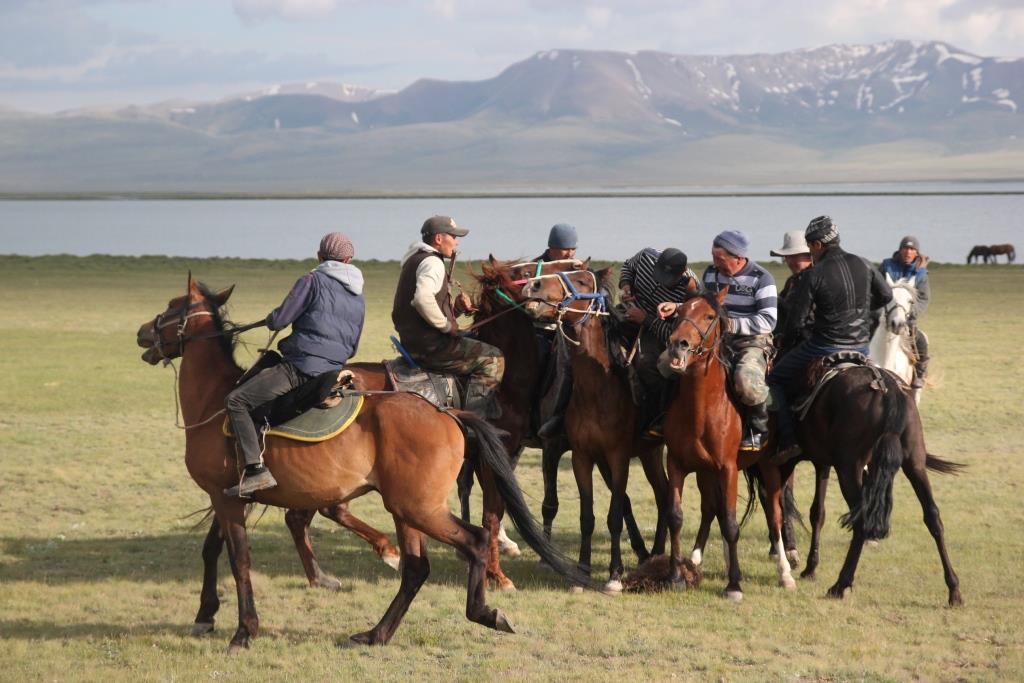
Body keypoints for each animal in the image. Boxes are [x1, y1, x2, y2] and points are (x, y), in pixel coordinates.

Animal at [136, 274, 598, 651]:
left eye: (172, 306)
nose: (142, 332)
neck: (218, 398)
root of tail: (446, 413)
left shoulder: (228, 500)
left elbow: (239, 561)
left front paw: (242, 631)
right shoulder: (229, 496)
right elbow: (214, 549)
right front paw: (206, 615)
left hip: (417, 507)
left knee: (471, 541)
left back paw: (480, 610)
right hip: (404, 508)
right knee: (413, 565)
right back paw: (375, 630)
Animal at [520, 264, 671, 589]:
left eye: (579, 279)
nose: (533, 286)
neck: (597, 390)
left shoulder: (618, 457)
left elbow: (614, 514)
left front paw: (614, 574)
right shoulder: (583, 457)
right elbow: (587, 516)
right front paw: (583, 570)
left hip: (651, 453)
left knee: (664, 496)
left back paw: (655, 555)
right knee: (663, 495)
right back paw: (652, 555)